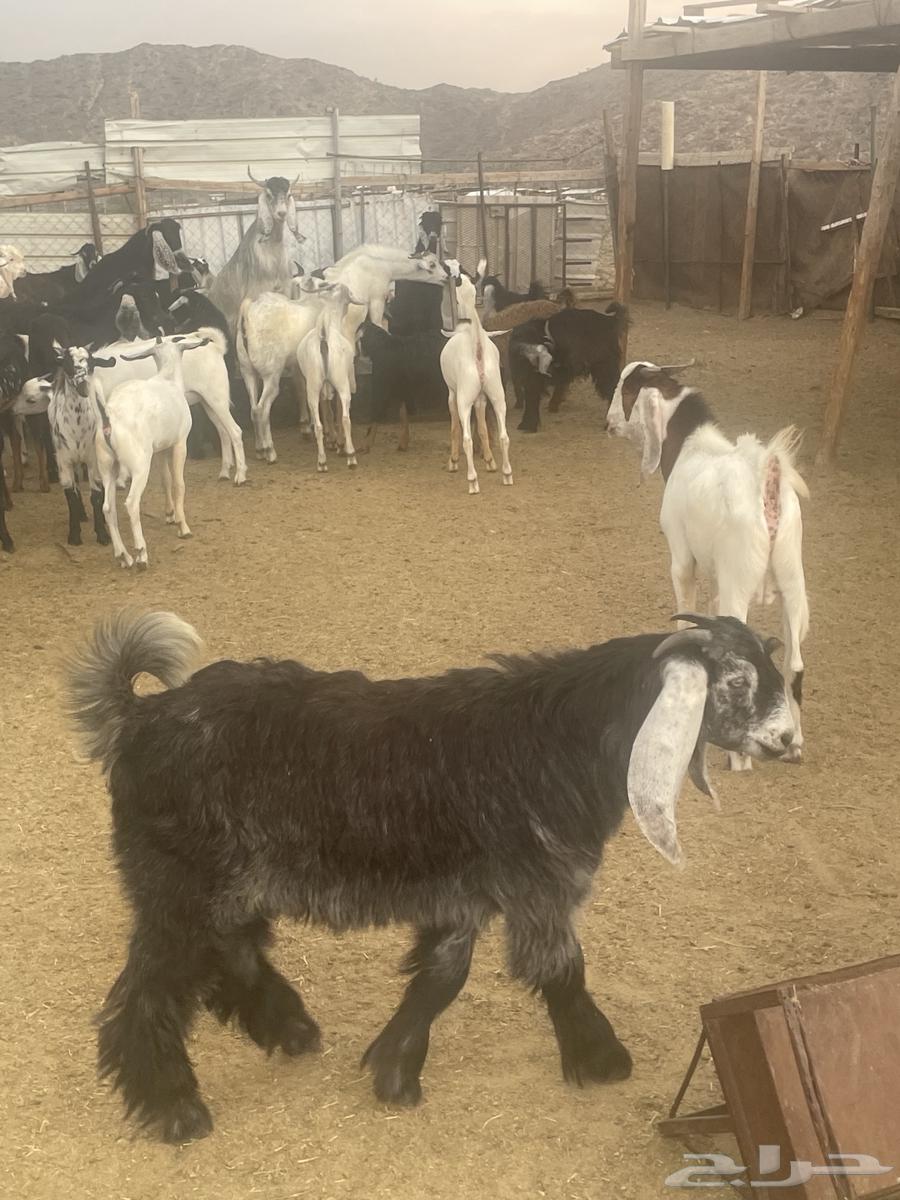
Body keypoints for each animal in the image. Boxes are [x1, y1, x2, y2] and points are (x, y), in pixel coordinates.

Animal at [66, 608, 799, 1143]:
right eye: (735, 681)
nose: (790, 740)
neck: (560, 738)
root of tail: (138, 717)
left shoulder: (463, 895)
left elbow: (442, 975)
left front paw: (395, 1068)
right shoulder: (536, 886)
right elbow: (561, 969)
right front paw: (602, 1059)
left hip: (223, 885)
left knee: (231, 954)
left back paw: (289, 1028)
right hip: (179, 884)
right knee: (149, 992)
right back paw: (174, 1107)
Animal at [94, 334, 210, 568]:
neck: (168, 379)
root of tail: (109, 418)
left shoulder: (160, 449)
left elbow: (165, 479)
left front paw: (170, 514)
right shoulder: (180, 442)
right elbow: (179, 484)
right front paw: (183, 527)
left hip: (107, 465)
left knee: (108, 508)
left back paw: (124, 556)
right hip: (139, 464)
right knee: (131, 503)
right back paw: (141, 553)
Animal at [440, 271, 512, 493]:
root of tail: (478, 351)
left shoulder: (452, 393)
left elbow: (455, 426)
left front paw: (453, 461)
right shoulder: (481, 398)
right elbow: (482, 427)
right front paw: (489, 461)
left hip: (464, 398)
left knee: (467, 439)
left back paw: (472, 481)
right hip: (498, 395)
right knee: (504, 436)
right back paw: (507, 474)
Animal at [606, 361, 810, 769]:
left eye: (626, 389)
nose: (608, 424)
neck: (691, 448)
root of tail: (768, 488)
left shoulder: (682, 557)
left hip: (740, 582)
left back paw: (740, 757)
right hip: (792, 579)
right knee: (794, 663)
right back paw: (794, 744)